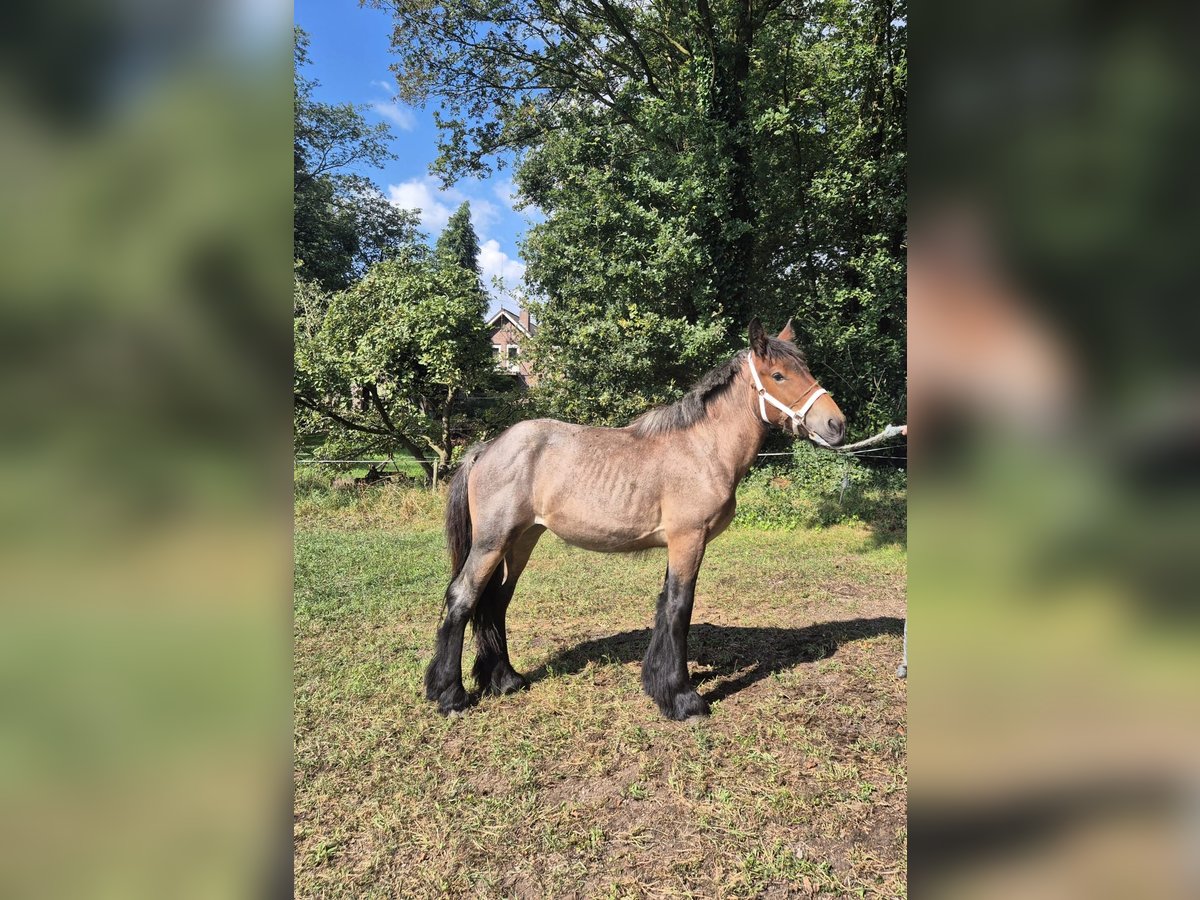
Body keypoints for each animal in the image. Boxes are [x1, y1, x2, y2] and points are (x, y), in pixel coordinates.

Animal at [427, 321, 849, 724]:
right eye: (778, 375)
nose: (836, 424)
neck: (702, 448)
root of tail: (486, 449)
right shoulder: (688, 539)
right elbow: (679, 608)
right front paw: (683, 700)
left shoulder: (680, 544)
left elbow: (666, 606)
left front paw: (659, 685)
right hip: (492, 542)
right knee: (462, 597)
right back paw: (450, 695)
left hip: (521, 540)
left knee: (496, 601)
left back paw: (505, 680)